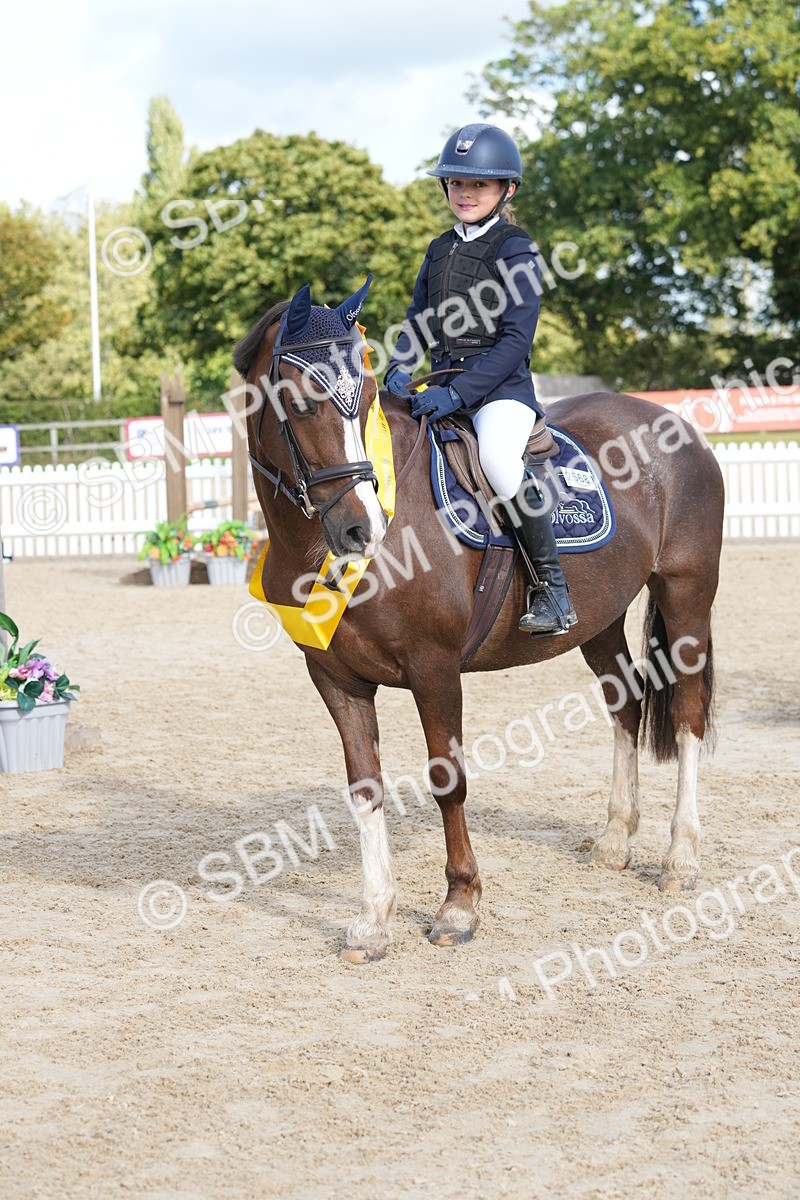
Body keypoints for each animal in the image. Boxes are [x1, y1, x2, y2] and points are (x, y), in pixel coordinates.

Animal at [233, 278, 724, 963]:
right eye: (301, 404)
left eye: (364, 399)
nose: (362, 530)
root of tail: (677, 424)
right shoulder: (334, 678)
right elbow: (365, 787)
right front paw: (373, 920)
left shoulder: (435, 668)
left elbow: (448, 779)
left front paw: (459, 906)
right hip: (598, 621)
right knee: (625, 706)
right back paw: (615, 843)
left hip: (685, 599)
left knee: (685, 714)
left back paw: (681, 858)